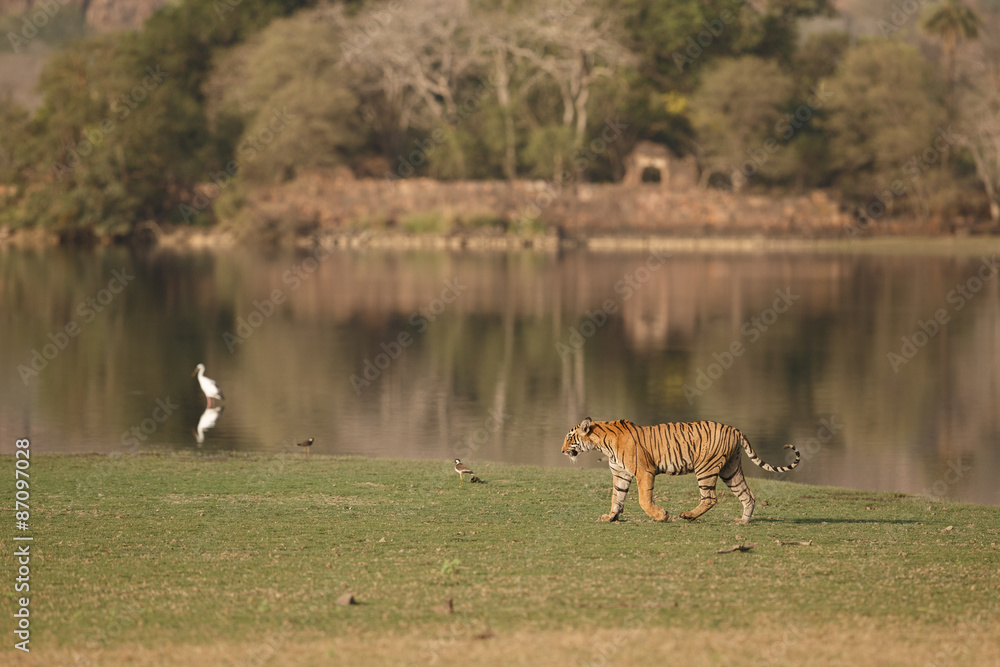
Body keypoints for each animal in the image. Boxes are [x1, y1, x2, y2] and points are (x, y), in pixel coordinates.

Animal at [560, 414, 800, 524]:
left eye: (569, 438)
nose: (562, 451)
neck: (602, 443)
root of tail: (734, 429)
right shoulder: (621, 474)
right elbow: (616, 498)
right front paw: (610, 517)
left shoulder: (644, 471)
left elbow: (643, 499)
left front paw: (661, 515)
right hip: (730, 470)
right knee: (747, 495)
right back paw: (742, 521)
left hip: (706, 468)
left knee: (710, 498)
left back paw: (687, 516)